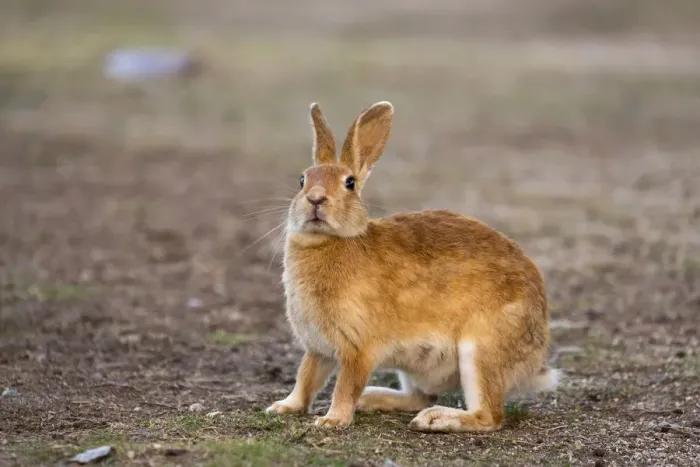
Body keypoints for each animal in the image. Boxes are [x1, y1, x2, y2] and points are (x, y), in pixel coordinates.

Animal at [265, 101, 560, 432]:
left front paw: (332, 420)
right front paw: (283, 407)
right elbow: (306, 378)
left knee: (489, 415)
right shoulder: (317, 348)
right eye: (302, 180)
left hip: (480, 349)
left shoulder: (358, 348)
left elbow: (345, 385)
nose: (315, 199)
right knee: (420, 397)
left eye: (349, 183)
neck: (331, 241)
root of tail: (535, 357)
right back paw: (374, 398)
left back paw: (436, 418)